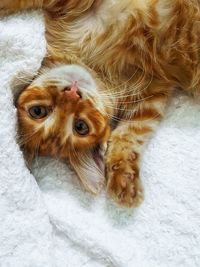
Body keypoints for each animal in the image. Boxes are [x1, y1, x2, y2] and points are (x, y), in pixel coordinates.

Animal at [0, 0, 199, 208]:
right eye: (81, 127)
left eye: (37, 111)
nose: (72, 94)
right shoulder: (151, 94)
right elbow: (131, 133)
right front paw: (124, 174)